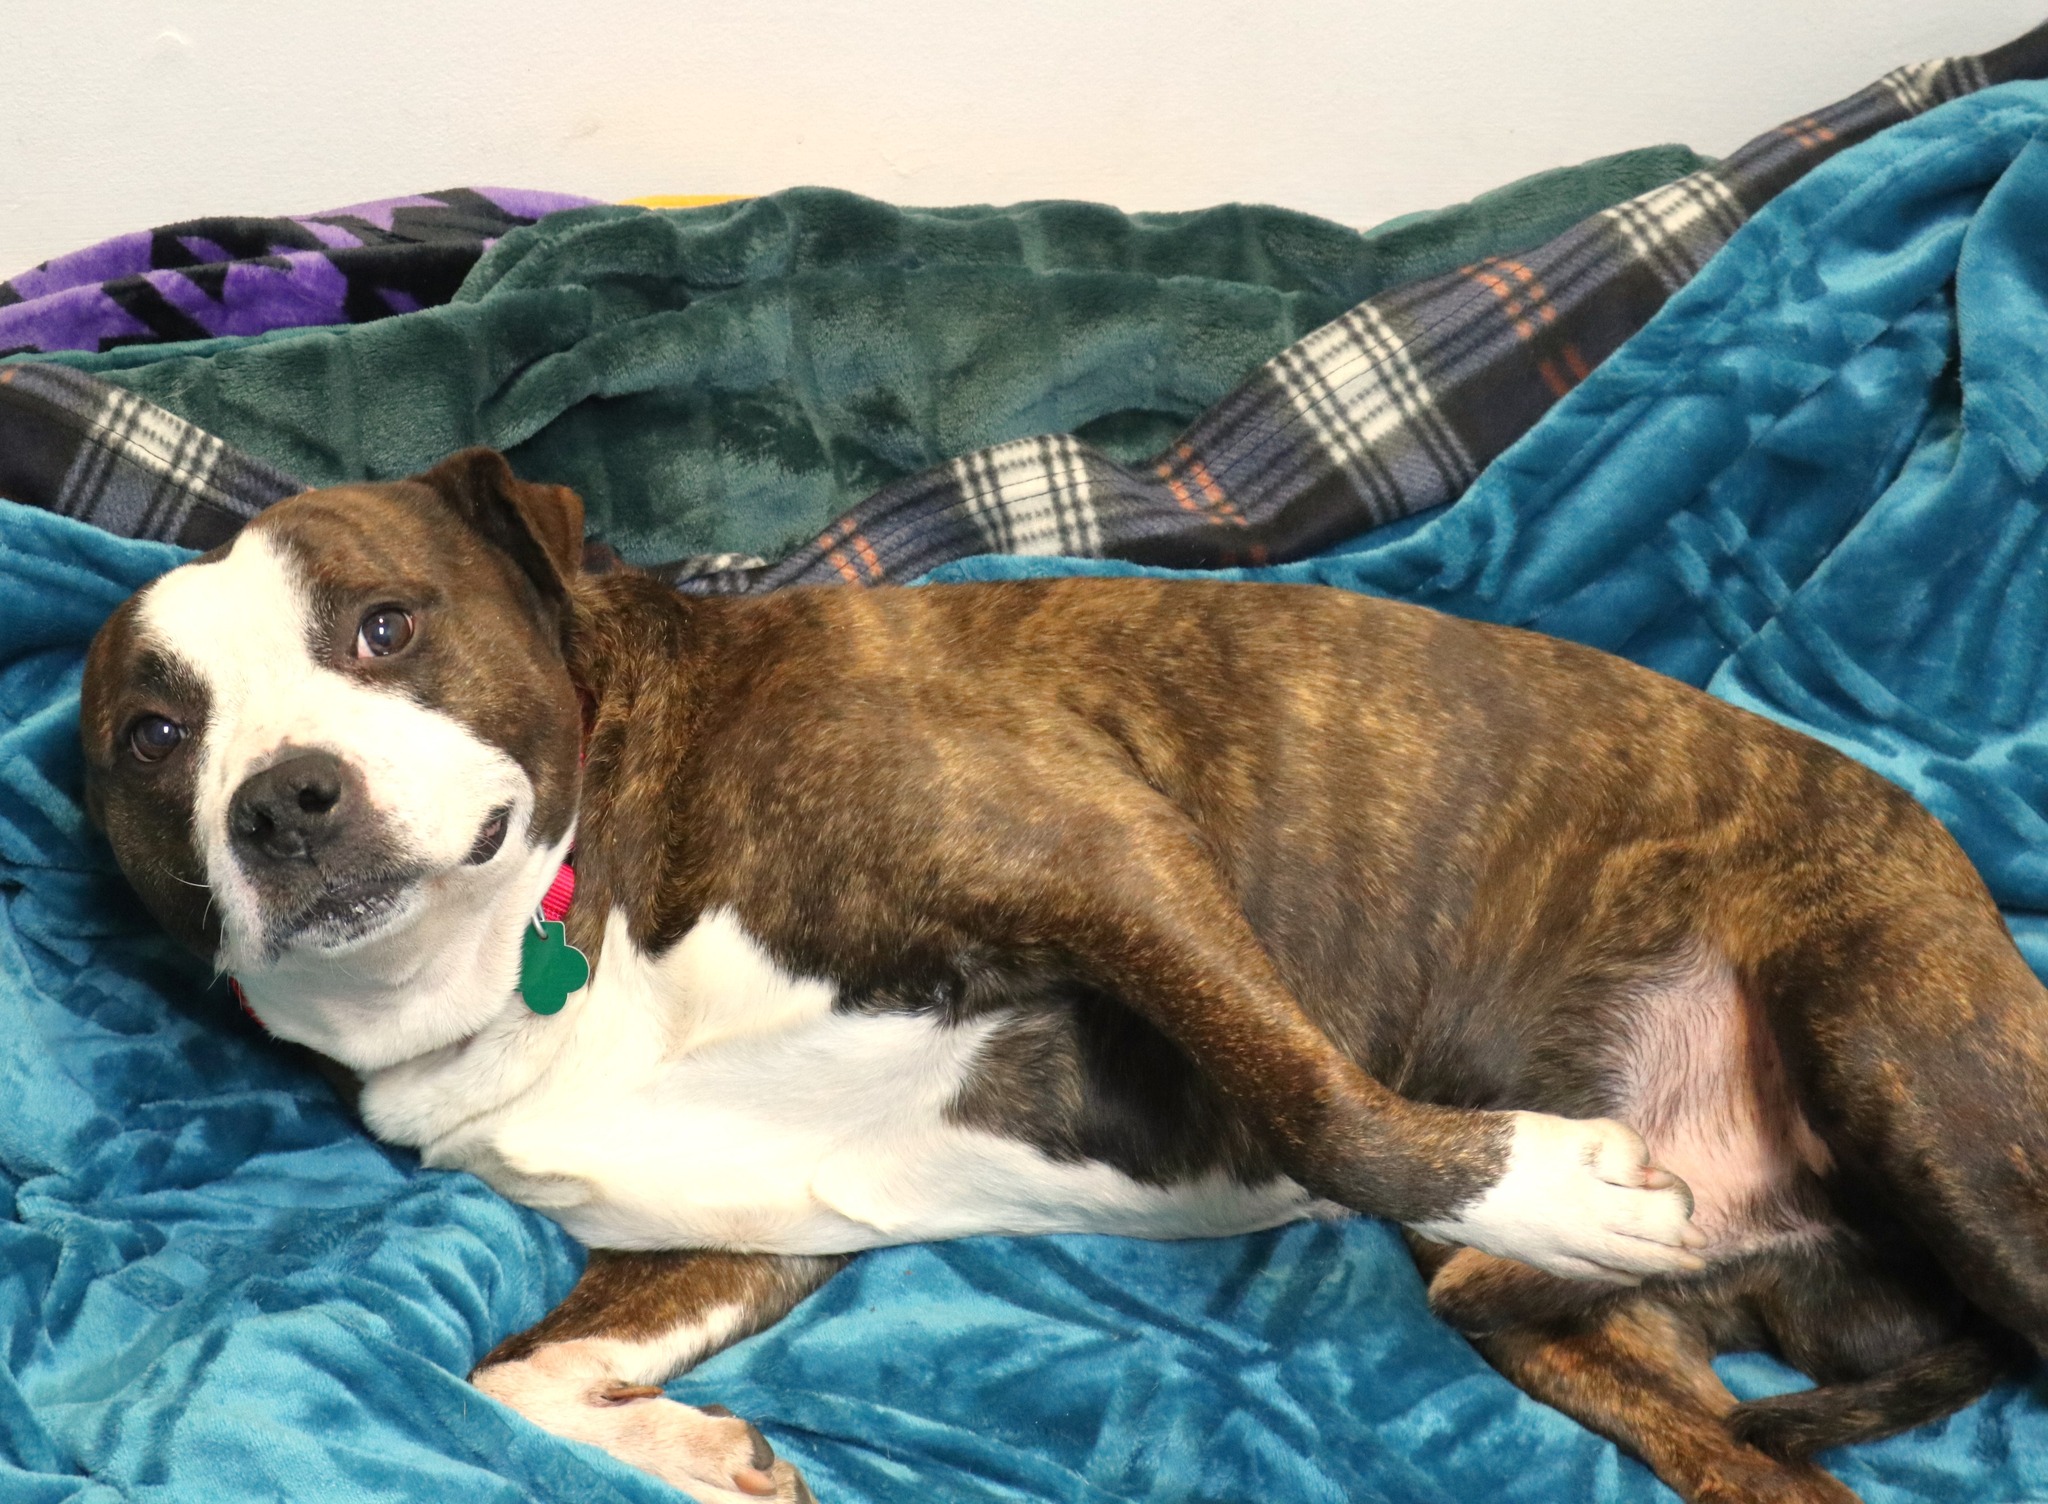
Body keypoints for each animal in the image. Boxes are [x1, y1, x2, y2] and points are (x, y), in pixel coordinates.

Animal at [79, 450, 2048, 1504]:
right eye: (152, 736)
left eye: (384, 626)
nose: (281, 800)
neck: (552, 940)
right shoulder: (731, 1228)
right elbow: (509, 1382)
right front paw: (702, 1457)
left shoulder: (1094, 854)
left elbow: (1312, 1097)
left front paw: (1544, 1168)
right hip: (1549, 1329)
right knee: (1768, 1461)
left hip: (1895, 1058)